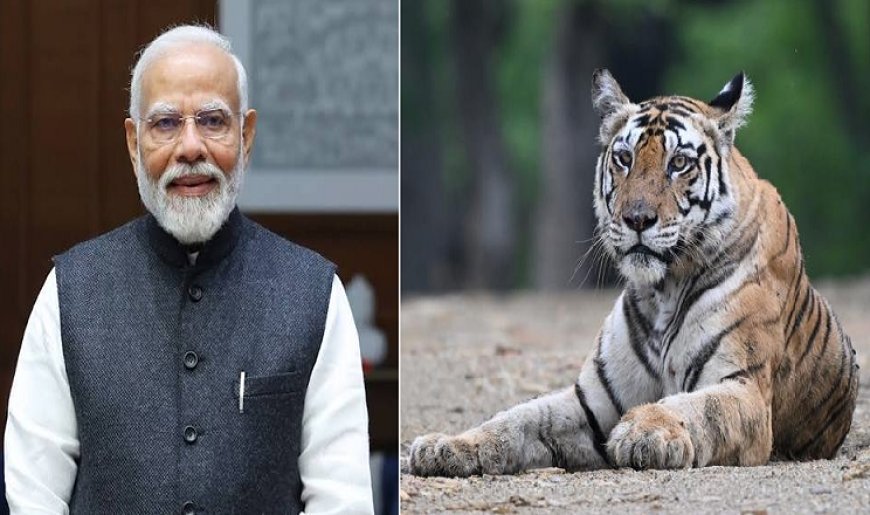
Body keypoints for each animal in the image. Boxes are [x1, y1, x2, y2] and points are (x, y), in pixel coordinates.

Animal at [408, 69, 859, 476]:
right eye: (624, 159)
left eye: (679, 163)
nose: (637, 218)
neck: (663, 290)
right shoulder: (593, 401)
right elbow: (518, 417)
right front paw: (446, 446)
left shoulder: (742, 387)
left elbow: (695, 407)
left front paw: (645, 432)